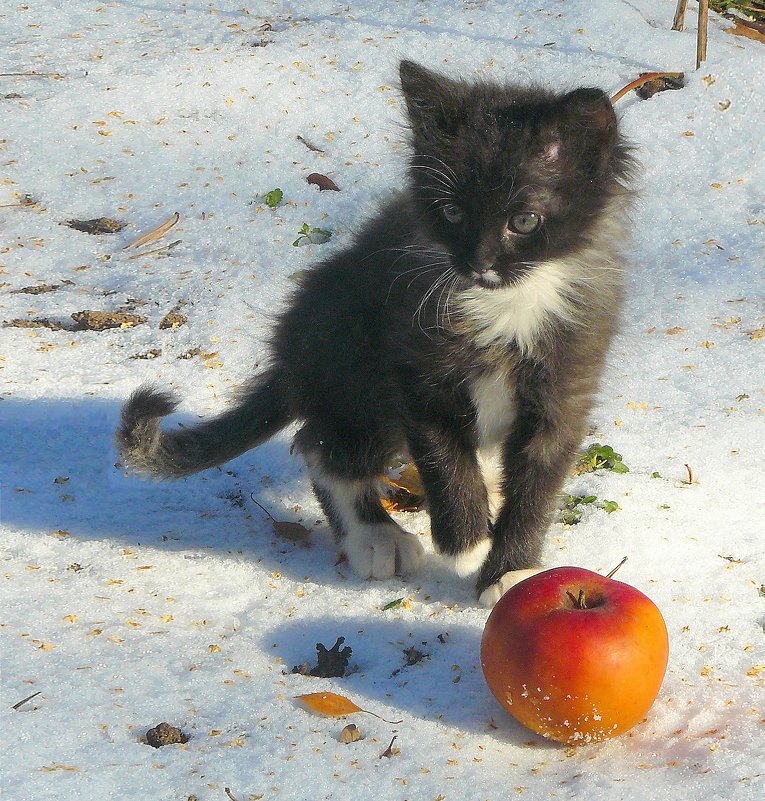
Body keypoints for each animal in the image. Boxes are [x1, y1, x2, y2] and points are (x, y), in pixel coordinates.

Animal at [118, 59, 632, 608]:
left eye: (525, 220)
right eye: (452, 212)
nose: (478, 262)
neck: (509, 305)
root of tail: (292, 354)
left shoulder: (566, 379)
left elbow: (538, 484)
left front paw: (513, 569)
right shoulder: (414, 364)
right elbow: (444, 457)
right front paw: (466, 539)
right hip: (354, 365)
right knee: (320, 444)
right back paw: (375, 535)